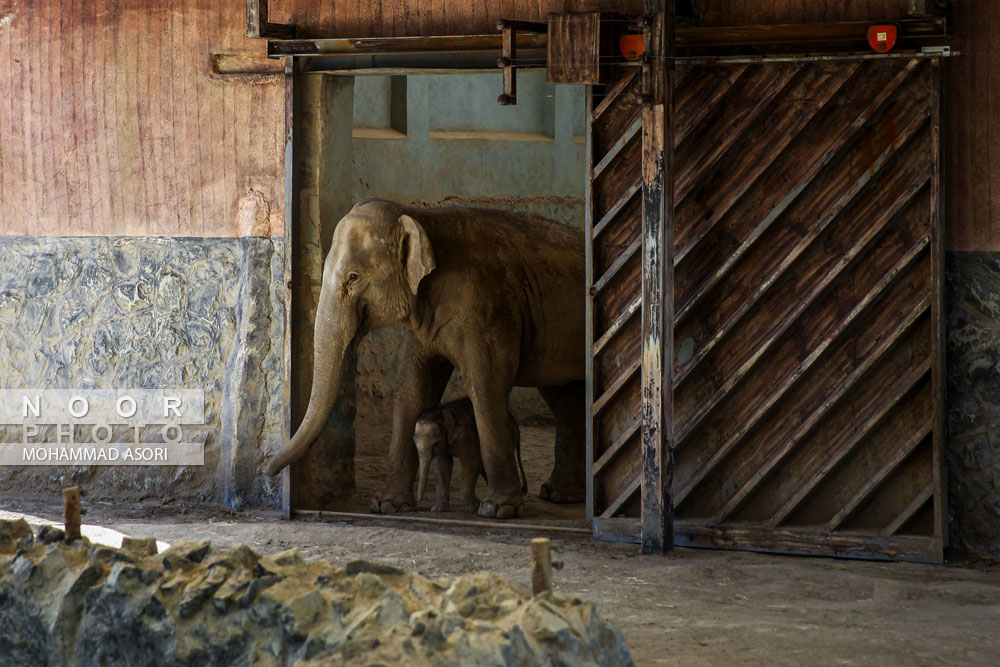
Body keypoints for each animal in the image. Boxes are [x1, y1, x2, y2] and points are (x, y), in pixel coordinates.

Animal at [266, 201, 584, 520]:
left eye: (353, 277)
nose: (269, 472)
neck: (426, 220)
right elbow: (412, 386)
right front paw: (388, 505)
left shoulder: (490, 314)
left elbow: (486, 385)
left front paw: (498, 509)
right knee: (563, 397)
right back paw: (560, 495)